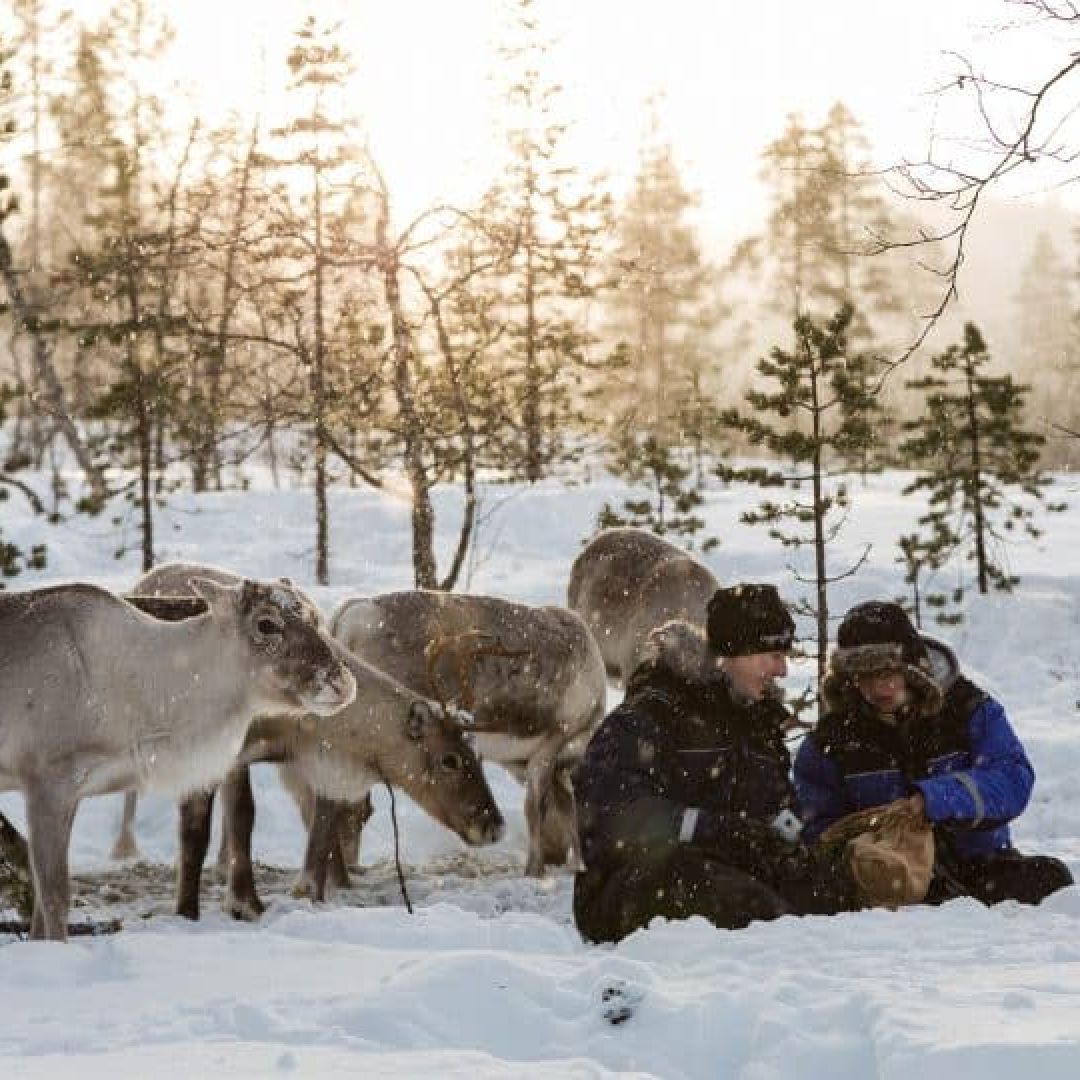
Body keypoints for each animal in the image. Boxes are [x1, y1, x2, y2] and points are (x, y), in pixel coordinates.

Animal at [0, 577, 357, 940]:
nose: (342, 682)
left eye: (314, 617)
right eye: (266, 623)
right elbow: (55, 897)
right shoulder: (46, 779)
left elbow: (40, 907)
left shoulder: (73, 792)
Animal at [130, 563, 505, 920]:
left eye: (477, 754)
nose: (494, 826)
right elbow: (232, 819)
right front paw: (237, 904)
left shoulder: (308, 759)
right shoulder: (230, 755)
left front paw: (320, 889)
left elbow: (322, 817)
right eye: (449, 759)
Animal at [313, 589, 609, 878]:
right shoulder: (554, 740)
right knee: (354, 806)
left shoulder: (522, 762)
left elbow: (565, 806)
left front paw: (576, 865)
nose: (555, 858)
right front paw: (535, 871)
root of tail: (350, 616)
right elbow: (537, 806)